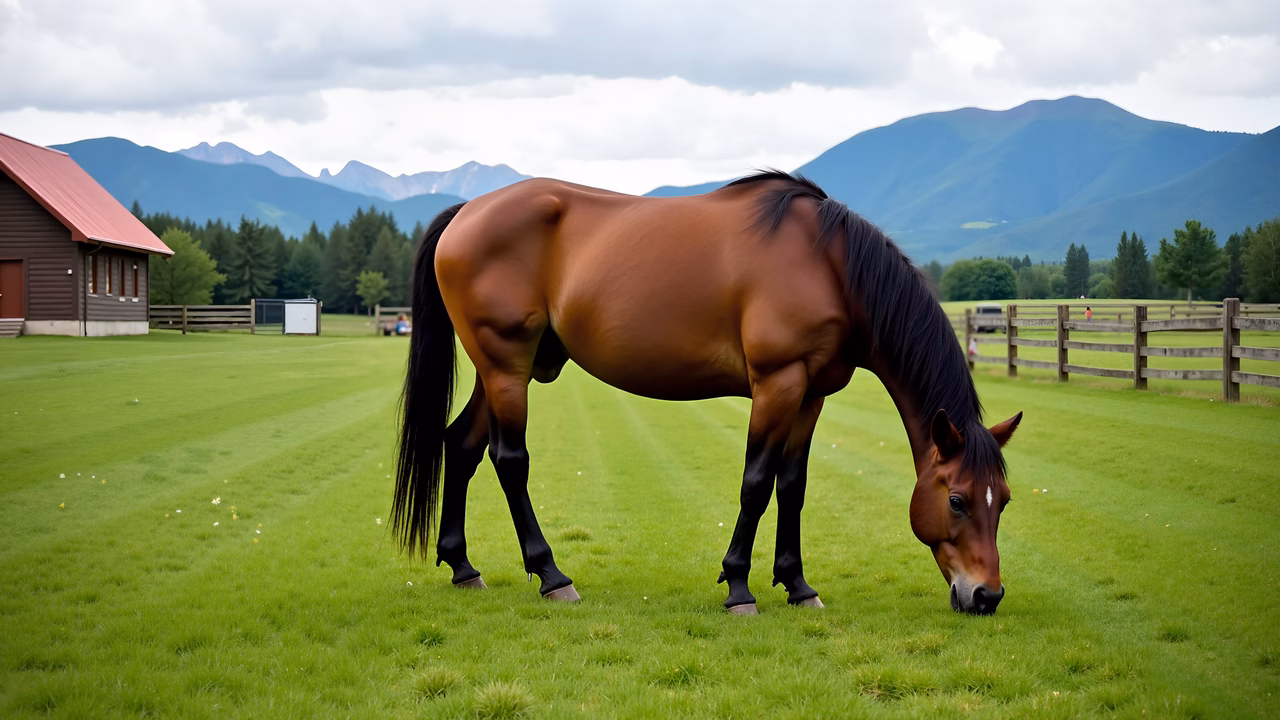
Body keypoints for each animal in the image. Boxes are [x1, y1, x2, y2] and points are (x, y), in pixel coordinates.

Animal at [393, 170, 1021, 615]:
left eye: (1005, 500)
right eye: (958, 499)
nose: (986, 596)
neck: (829, 263)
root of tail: (467, 211)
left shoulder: (811, 393)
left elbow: (792, 486)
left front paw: (797, 584)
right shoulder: (777, 383)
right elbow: (757, 483)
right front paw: (739, 586)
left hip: (503, 370)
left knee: (461, 445)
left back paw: (463, 567)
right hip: (506, 366)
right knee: (508, 459)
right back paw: (551, 576)